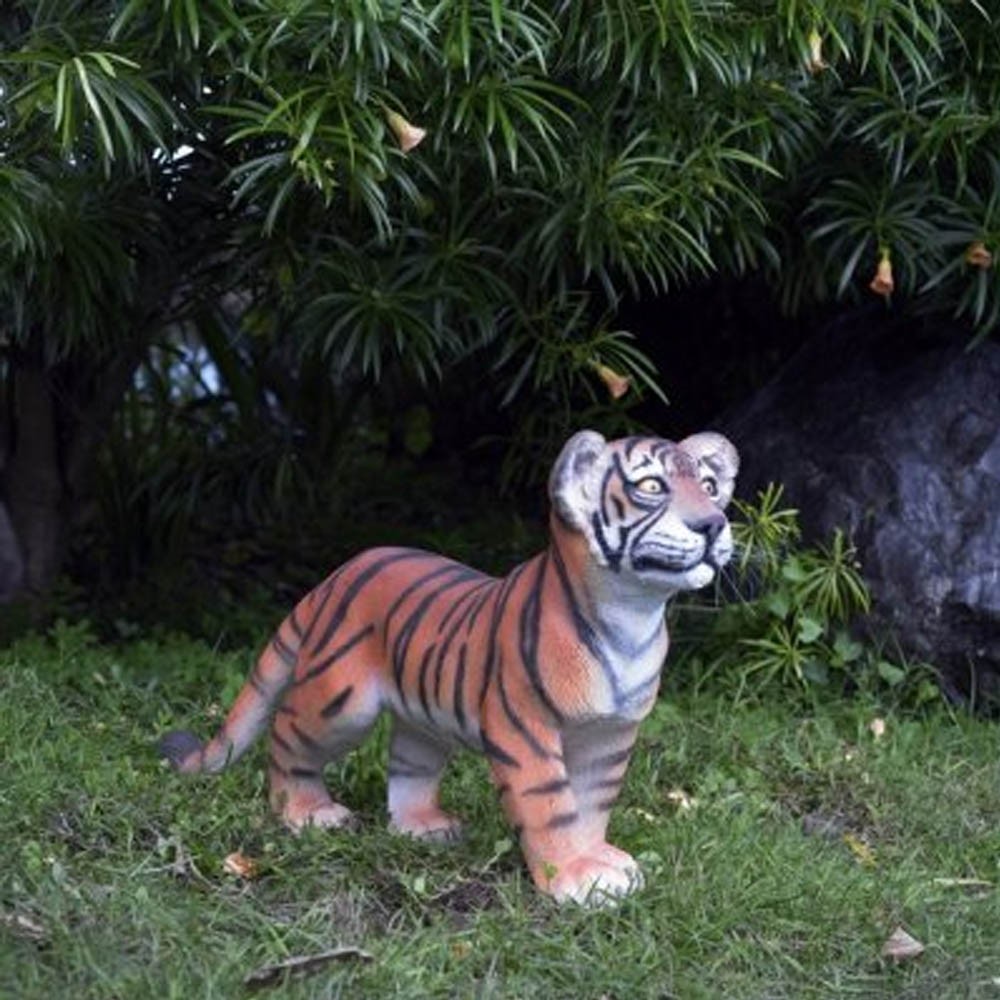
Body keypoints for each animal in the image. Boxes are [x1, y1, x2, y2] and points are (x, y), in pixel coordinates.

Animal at [159, 428, 739, 906]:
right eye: (652, 486)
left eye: (710, 486)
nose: (713, 524)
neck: (632, 618)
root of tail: (338, 573)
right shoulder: (525, 729)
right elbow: (552, 805)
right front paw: (572, 877)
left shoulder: (610, 735)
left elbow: (593, 803)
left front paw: (598, 858)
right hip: (340, 703)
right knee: (285, 733)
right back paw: (307, 813)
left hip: (422, 718)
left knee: (409, 765)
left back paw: (422, 827)